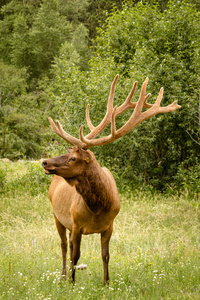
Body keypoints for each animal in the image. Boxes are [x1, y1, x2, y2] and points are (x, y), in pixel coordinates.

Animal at [41, 74, 180, 284]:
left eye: (73, 158)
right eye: (68, 153)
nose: (45, 162)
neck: (98, 208)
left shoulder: (109, 225)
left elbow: (105, 255)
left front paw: (107, 283)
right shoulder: (76, 224)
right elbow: (76, 255)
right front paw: (72, 283)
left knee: (67, 245)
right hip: (57, 216)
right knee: (64, 245)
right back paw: (64, 275)